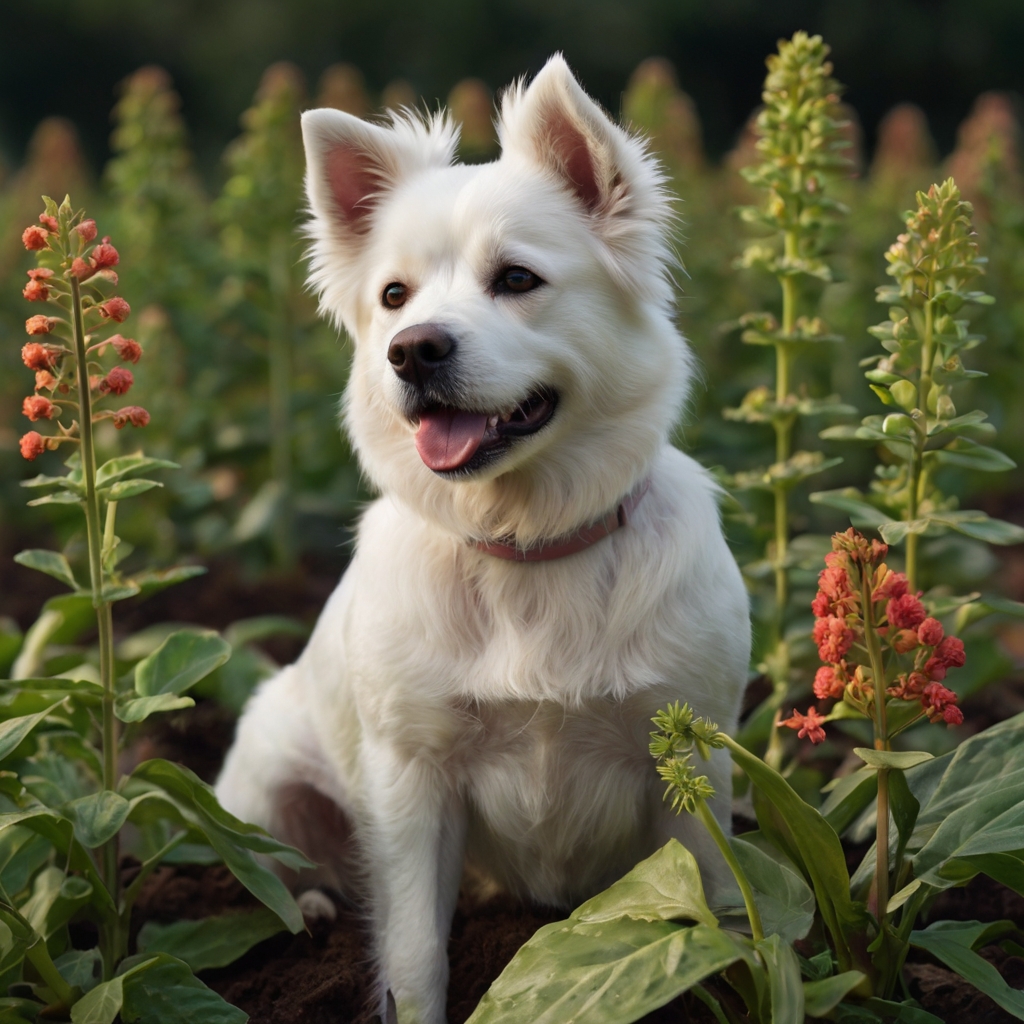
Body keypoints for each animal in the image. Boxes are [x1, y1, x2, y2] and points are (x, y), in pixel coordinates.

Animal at [216, 54, 749, 1024]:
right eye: (393, 297)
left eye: (517, 279)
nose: (412, 350)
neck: (525, 546)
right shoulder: (413, 782)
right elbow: (416, 955)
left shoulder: (687, 763)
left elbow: (705, 923)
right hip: (267, 788)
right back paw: (308, 911)